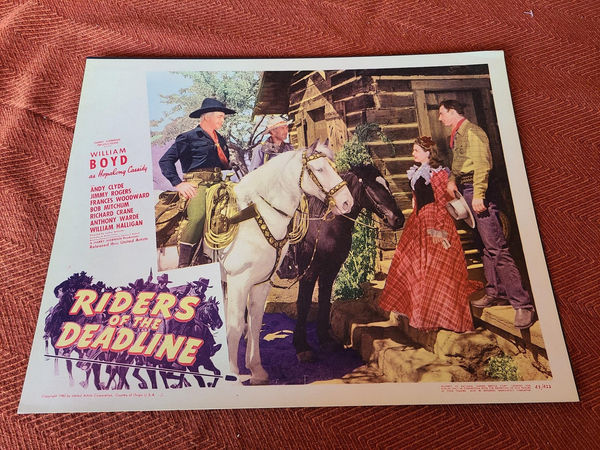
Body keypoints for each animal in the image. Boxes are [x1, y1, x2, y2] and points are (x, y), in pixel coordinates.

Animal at [218, 140, 354, 384]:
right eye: (319, 169)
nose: (347, 201)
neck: (253, 217)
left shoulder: (261, 281)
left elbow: (254, 322)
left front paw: (257, 371)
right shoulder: (238, 281)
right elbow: (234, 326)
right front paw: (234, 375)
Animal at [294, 163, 406, 360]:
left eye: (386, 184)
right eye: (369, 185)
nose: (398, 218)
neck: (321, 226)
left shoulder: (331, 269)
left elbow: (325, 299)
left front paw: (324, 339)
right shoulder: (308, 271)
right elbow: (303, 303)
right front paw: (302, 347)